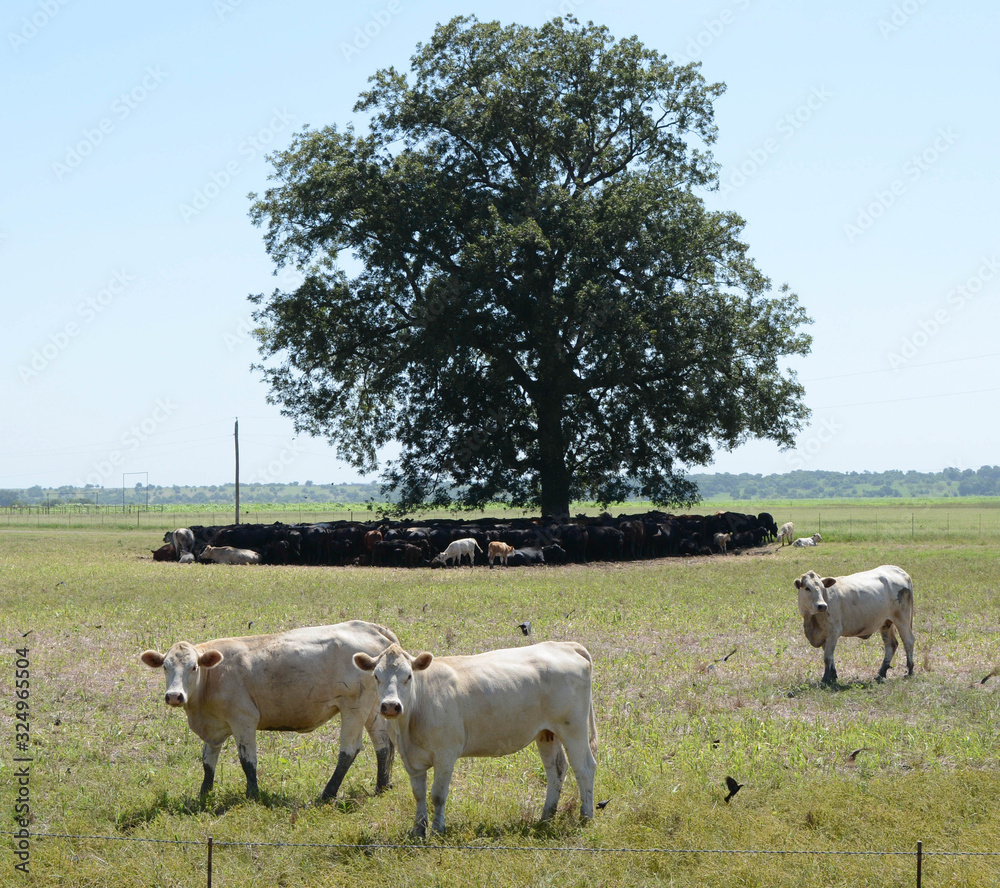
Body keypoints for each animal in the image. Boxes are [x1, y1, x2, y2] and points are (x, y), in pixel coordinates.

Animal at [140, 621, 399, 800]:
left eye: (193, 667)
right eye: (165, 666)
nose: (175, 696)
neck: (212, 677)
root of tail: (369, 627)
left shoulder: (244, 720)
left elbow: (247, 761)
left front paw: (252, 795)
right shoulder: (214, 727)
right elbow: (208, 761)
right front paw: (205, 794)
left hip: (354, 707)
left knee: (349, 750)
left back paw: (328, 793)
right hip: (372, 708)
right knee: (383, 744)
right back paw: (381, 786)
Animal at [353, 641, 598, 837]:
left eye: (409, 676)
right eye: (376, 676)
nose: (390, 706)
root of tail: (565, 645)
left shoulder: (446, 754)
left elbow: (437, 795)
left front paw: (438, 830)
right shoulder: (412, 760)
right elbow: (419, 795)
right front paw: (418, 830)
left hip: (573, 728)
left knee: (585, 767)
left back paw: (586, 816)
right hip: (546, 733)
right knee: (556, 770)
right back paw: (546, 817)